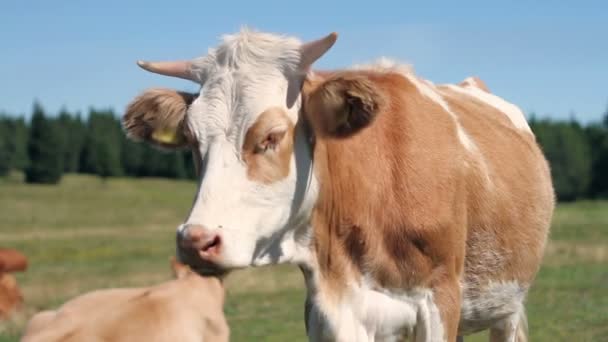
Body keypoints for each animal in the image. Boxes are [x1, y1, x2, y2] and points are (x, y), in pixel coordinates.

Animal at [122, 29, 556, 342]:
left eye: (272, 136)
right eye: (193, 140)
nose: (195, 240)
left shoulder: (439, 300)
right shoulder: (328, 311)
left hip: (508, 302)